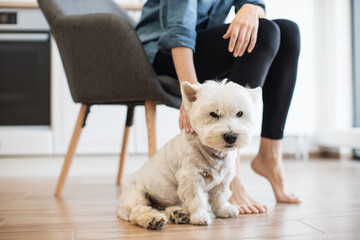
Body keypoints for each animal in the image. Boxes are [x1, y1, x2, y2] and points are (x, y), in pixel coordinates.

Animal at [116, 80, 260, 229]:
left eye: (240, 113)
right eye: (213, 114)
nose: (231, 136)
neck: (214, 153)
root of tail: (120, 206)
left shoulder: (224, 179)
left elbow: (219, 196)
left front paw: (224, 209)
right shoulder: (191, 178)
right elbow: (197, 200)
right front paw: (200, 217)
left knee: (163, 208)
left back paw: (177, 214)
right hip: (137, 192)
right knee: (138, 210)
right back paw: (154, 220)